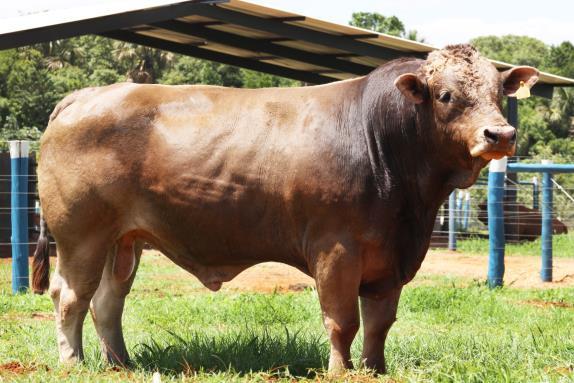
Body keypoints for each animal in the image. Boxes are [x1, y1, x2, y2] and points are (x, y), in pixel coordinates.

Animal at [35, 43, 540, 374]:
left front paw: (375, 370)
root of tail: (86, 95)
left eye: (499, 93)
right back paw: (72, 362)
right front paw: (339, 371)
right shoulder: (336, 250)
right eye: (446, 95)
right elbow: (342, 321)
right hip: (81, 236)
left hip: (124, 241)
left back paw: (120, 363)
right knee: (71, 297)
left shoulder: (391, 259)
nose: (500, 134)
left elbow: (379, 323)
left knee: (107, 301)